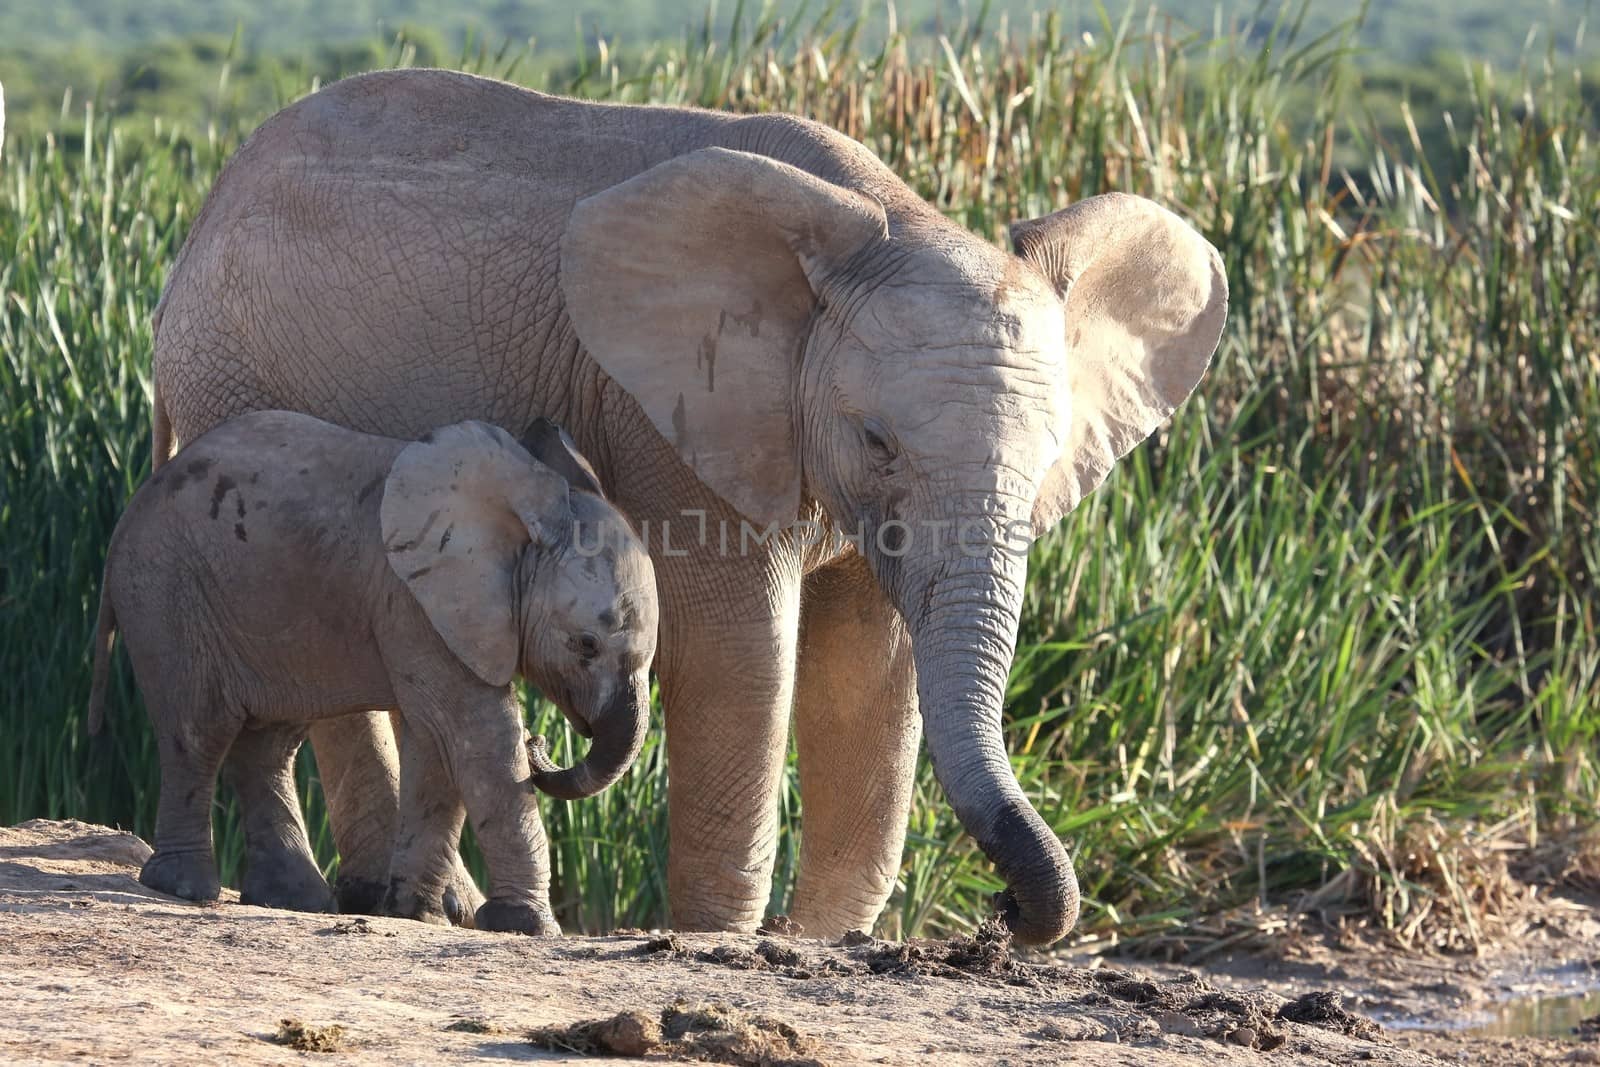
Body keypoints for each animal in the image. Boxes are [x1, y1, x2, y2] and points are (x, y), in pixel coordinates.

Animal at [87, 412, 656, 927]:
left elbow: (437, 748)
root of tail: (129, 513)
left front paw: (416, 915)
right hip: (166, 590)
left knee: (269, 743)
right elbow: (477, 737)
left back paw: (295, 900)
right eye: (585, 645)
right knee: (199, 731)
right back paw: (184, 888)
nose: (543, 740)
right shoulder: (414, 603)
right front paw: (524, 924)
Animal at [152, 70, 1222, 947]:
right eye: (878, 438)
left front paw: (821, 943)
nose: (1002, 913)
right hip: (233, 376)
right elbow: (740, 650)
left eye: (1047, 462)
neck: (886, 221)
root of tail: (203, 217)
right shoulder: (671, 419)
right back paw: (395, 902)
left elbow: (871, 669)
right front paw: (721, 939)